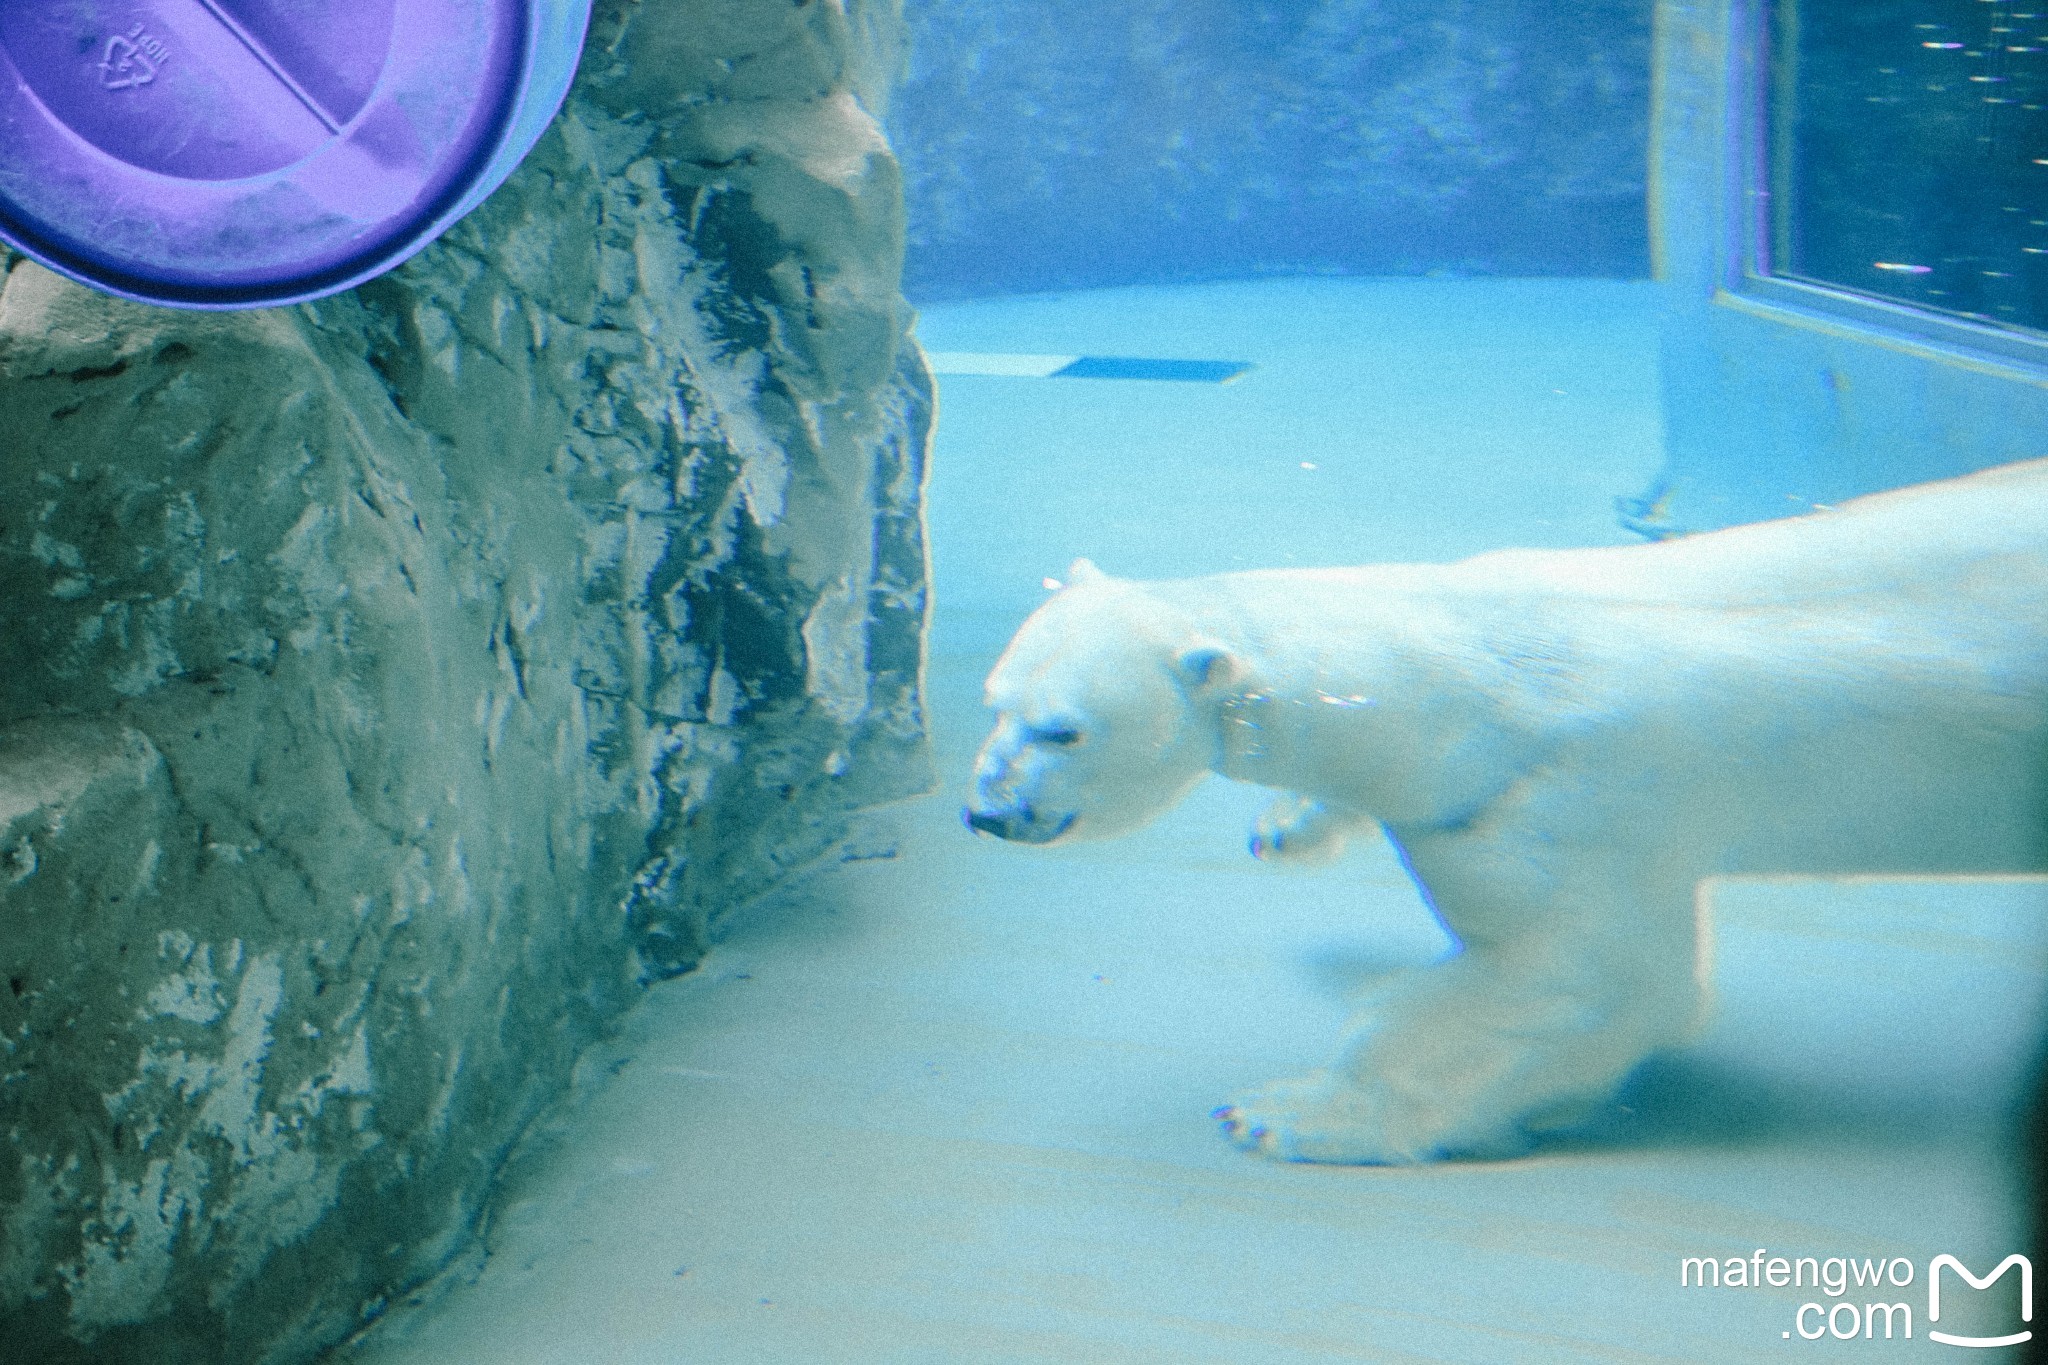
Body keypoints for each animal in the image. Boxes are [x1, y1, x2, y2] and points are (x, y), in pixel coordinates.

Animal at [958, 458, 2048, 1162]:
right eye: (993, 701)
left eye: (1062, 731)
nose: (986, 812)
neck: (1474, 666)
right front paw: (1288, 823)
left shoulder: (1548, 809)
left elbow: (1587, 980)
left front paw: (1291, 1111)